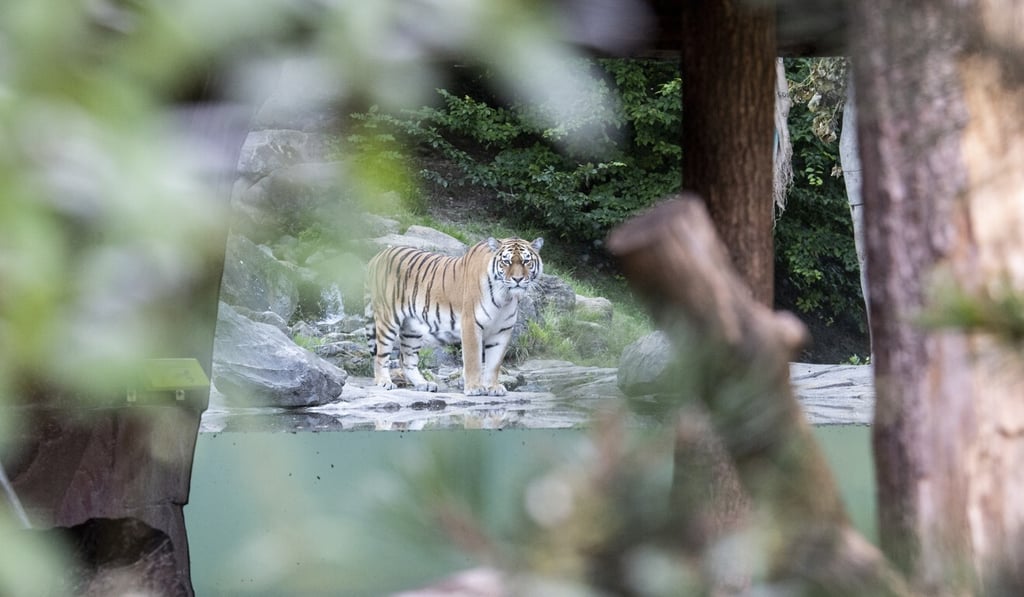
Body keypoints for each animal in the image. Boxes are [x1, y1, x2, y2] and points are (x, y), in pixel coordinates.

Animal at [366, 236, 544, 396]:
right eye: (506, 262)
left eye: (526, 261)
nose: (518, 279)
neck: (505, 297)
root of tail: (377, 256)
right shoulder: (471, 324)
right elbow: (473, 360)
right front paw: (474, 388)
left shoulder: (502, 331)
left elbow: (494, 363)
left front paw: (493, 387)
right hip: (388, 319)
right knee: (380, 356)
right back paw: (384, 382)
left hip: (412, 328)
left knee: (406, 360)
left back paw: (424, 384)